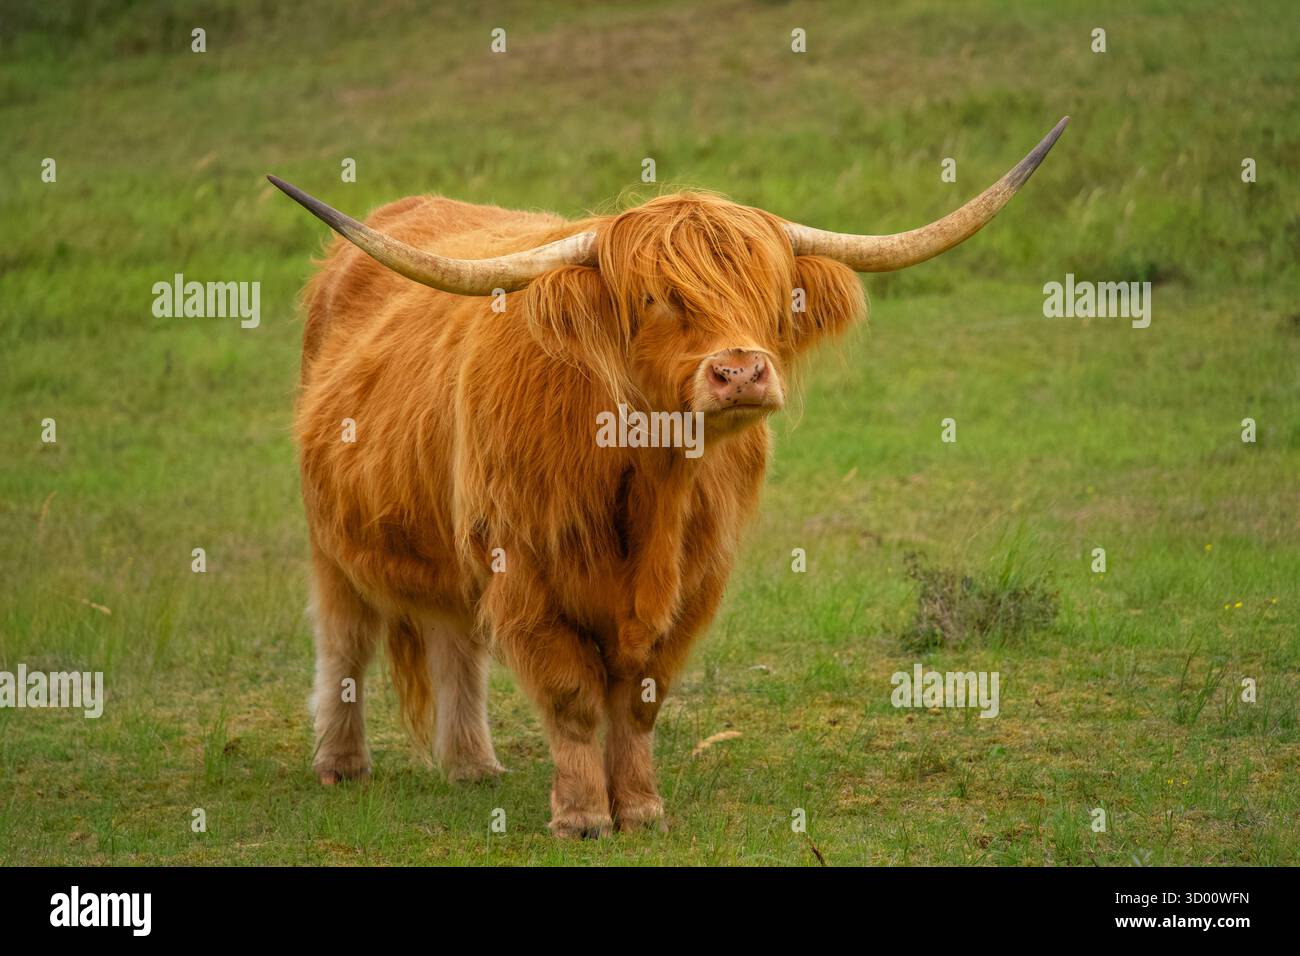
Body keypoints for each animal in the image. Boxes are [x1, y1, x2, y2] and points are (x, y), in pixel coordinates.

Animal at [269, 117, 1066, 837]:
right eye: (655, 299)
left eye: (770, 293)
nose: (740, 372)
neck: (647, 478)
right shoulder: (522, 567)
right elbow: (572, 696)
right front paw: (584, 815)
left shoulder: (697, 577)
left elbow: (641, 698)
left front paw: (642, 807)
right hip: (330, 534)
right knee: (345, 639)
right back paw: (341, 763)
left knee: (454, 639)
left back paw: (472, 766)